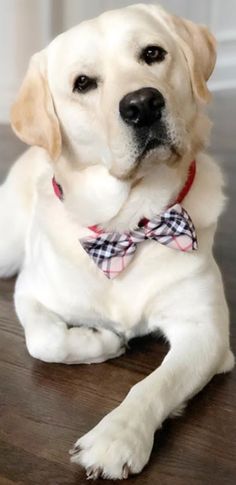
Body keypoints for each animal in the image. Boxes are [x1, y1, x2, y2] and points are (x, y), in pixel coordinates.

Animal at [0, 3, 234, 480]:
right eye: (82, 83)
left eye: (153, 53)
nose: (143, 104)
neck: (130, 226)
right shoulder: (30, 290)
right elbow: (44, 341)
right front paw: (102, 341)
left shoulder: (206, 331)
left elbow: (154, 384)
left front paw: (116, 439)